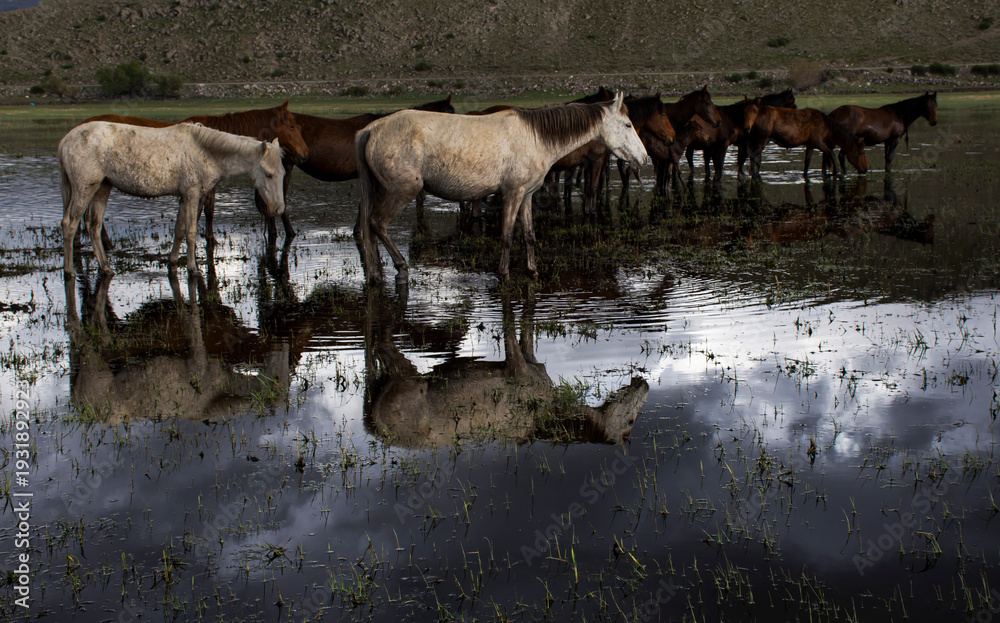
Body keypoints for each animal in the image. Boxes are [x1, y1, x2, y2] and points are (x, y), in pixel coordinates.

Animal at [58, 121, 285, 277]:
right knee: (70, 225)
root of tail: (65, 141)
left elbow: (179, 230)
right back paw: (69, 270)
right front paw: (193, 268)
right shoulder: (192, 194)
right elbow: (191, 232)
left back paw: (105, 267)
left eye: (282, 173)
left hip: (102, 188)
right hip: (84, 189)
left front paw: (173, 262)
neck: (205, 150)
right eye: (268, 174)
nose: (278, 209)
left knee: (94, 226)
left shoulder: (184, 197)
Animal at [355, 92, 648, 284]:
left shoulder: (527, 195)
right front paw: (504, 273)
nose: (644, 158)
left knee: (370, 229)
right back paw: (401, 267)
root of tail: (372, 129)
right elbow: (507, 235)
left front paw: (532, 271)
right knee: (377, 223)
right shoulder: (513, 193)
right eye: (627, 124)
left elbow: (529, 235)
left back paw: (376, 272)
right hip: (402, 190)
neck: (535, 136)